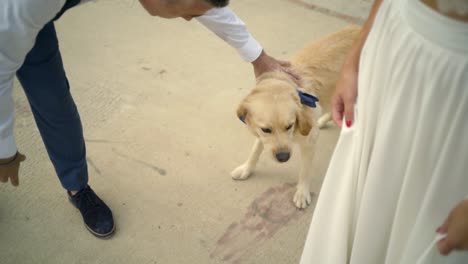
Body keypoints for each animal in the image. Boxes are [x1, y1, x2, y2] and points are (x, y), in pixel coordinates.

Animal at [232, 26, 360, 208]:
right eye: (266, 129)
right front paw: (246, 169)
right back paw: (322, 120)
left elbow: (305, 171)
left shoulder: (309, 141)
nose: (283, 157)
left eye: (289, 126)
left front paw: (302, 192)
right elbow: (255, 151)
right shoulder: (261, 135)